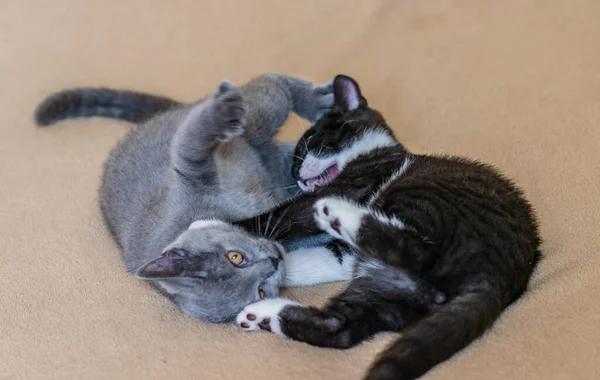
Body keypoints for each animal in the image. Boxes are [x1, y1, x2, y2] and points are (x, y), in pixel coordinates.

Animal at [36, 73, 356, 320]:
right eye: (261, 291)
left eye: (235, 257)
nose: (274, 262)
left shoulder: (187, 176)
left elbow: (190, 146)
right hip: (278, 166)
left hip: (252, 123)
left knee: (268, 88)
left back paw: (311, 101)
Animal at [232, 75, 540, 380]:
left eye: (310, 140)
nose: (295, 174)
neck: (376, 150)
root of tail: (498, 279)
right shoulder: (345, 255)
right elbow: (312, 260)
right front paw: (267, 266)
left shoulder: (353, 183)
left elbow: (282, 215)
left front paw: (228, 226)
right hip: (390, 294)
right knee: (341, 328)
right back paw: (264, 314)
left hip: (423, 201)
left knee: (420, 252)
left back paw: (339, 214)